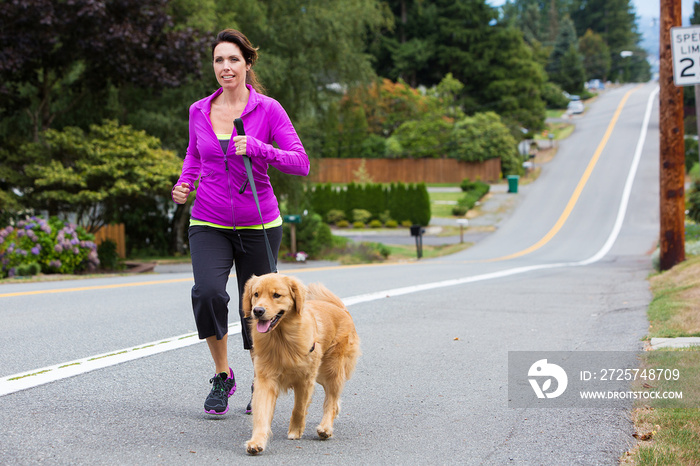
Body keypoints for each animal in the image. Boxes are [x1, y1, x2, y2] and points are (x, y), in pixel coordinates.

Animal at [242, 274, 360, 456]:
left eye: (276, 295)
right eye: (256, 294)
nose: (258, 311)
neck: (281, 339)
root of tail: (341, 309)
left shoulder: (305, 379)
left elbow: (299, 407)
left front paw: (295, 430)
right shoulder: (265, 379)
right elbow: (262, 412)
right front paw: (256, 442)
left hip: (331, 371)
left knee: (331, 401)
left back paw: (325, 428)